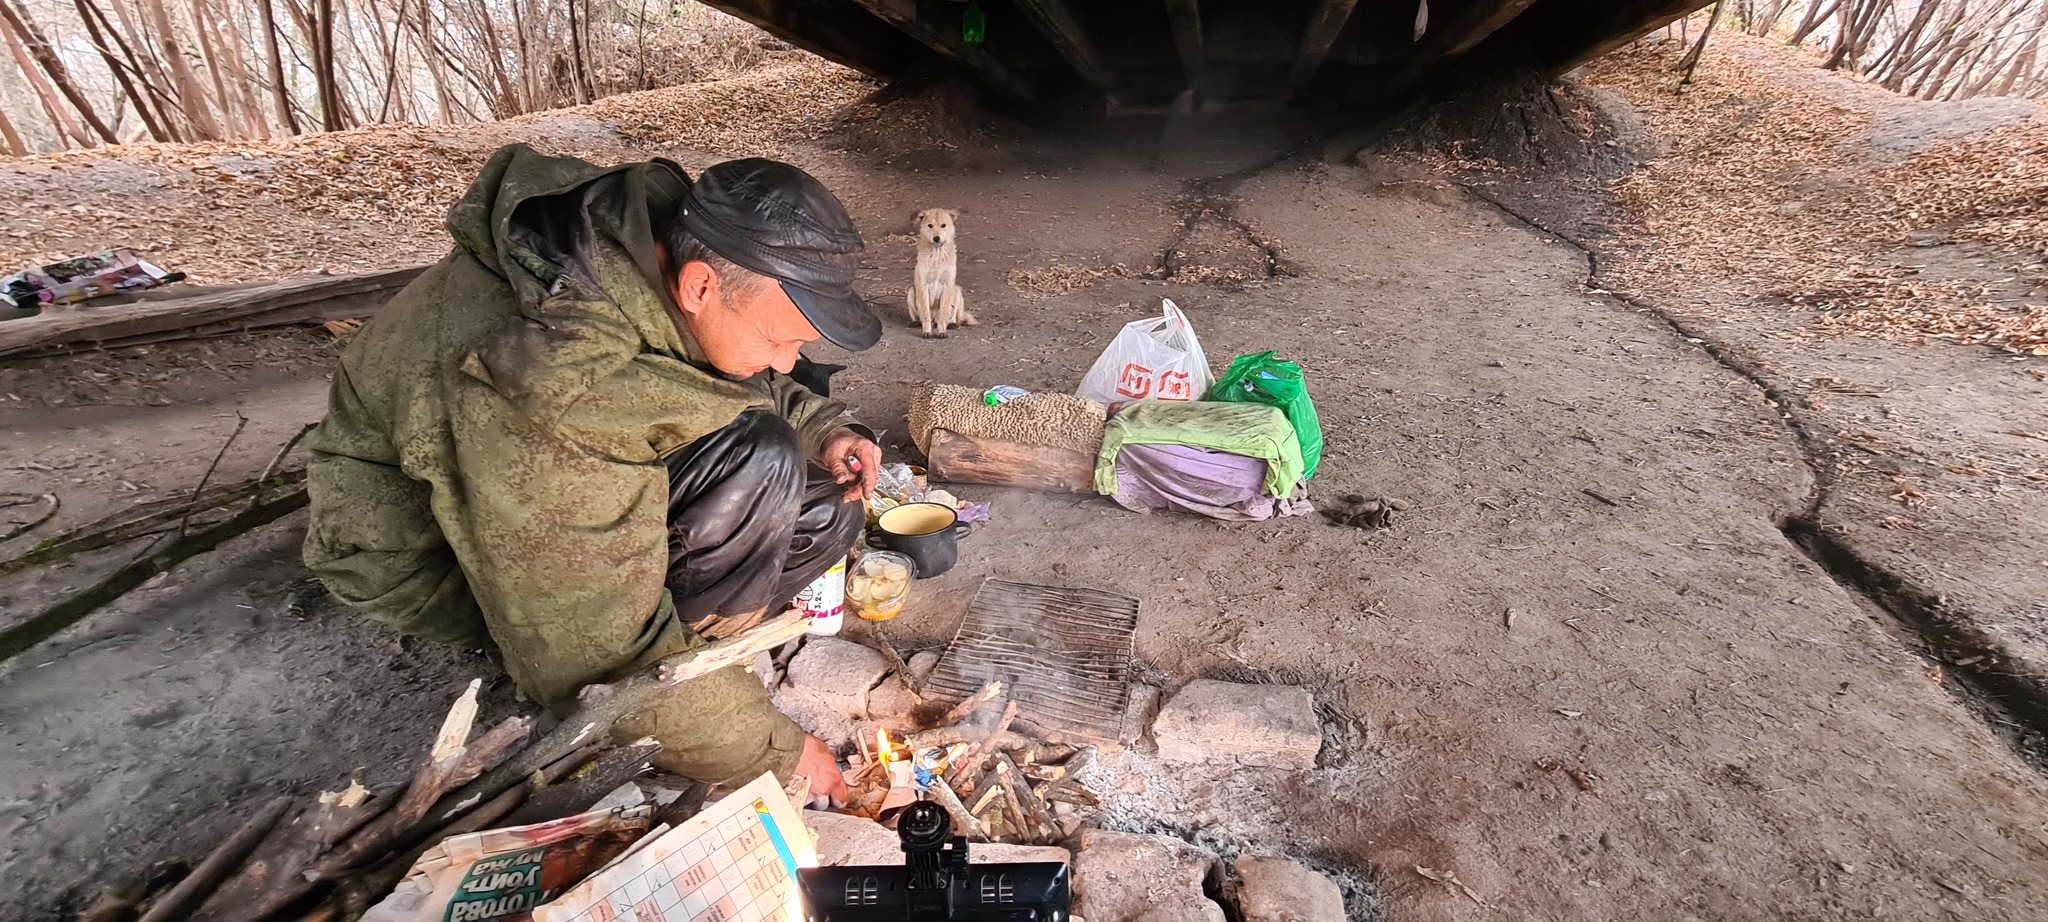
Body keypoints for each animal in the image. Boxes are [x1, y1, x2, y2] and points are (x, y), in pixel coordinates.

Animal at [913, 206, 974, 336]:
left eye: (943, 225)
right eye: (930, 225)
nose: (936, 238)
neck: (937, 253)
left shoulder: (948, 285)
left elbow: (944, 312)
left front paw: (942, 331)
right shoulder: (922, 285)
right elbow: (925, 313)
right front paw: (926, 331)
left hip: (957, 291)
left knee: (952, 316)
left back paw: (951, 324)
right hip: (911, 291)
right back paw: (915, 322)